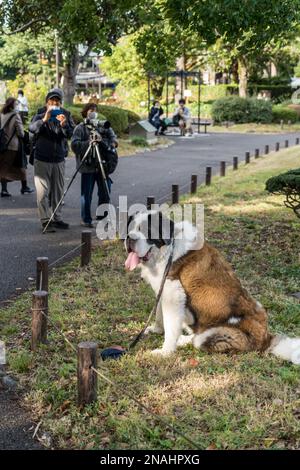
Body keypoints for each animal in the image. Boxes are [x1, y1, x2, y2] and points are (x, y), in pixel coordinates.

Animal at [124, 210, 300, 364]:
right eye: (129, 228)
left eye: (147, 230)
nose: (130, 238)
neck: (167, 250)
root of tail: (266, 338)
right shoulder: (163, 291)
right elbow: (159, 314)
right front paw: (157, 330)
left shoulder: (173, 294)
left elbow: (170, 326)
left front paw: (165, 352)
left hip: (215, 335)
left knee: (198, 340)